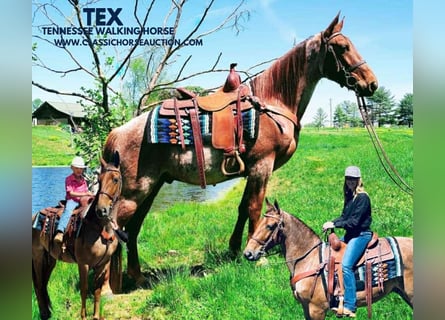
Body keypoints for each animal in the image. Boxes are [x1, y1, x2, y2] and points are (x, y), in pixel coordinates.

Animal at [31, 151, 122, 320]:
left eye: (115, 179)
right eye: (99, 180)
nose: (102, 210)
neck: (99, 228)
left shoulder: (103, 263)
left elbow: (97, 291)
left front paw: (96, 316)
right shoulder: (83, 264)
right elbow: (84, 290)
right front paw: (83, 316)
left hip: (50, 259)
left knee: (43, 284)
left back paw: (48, 312)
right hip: (38, 257)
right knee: (39, 284)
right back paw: (45, 314)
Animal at [102, 12, 376, 288]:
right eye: (342, 47)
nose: (371, 83)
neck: (272, 103)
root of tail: (118, 132)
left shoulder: (251, 171)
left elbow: (243, 207)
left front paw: (235, 250)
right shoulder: (261, 167)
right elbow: (255, 208)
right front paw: (258, 258)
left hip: (151, 187)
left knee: (132, 228)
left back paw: (137, 276)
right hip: (134, 192)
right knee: (113, 227)